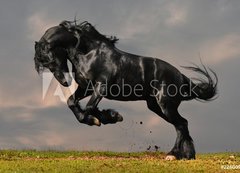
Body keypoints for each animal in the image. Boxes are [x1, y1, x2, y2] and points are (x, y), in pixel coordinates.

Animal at [34, 20, 218, 159]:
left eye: (50, 59)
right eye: (45, 63)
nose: (65, 82)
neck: (90, 54)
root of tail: (180, 76)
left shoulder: (101, 87)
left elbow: (89, 107)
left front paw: (108, 117)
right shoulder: (86, 87)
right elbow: (72, 103)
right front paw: (101, 118)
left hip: (166, 105)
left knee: (181, 124)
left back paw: (174, 154)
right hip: (155, 106)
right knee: (182, 124)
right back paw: (186, 155)